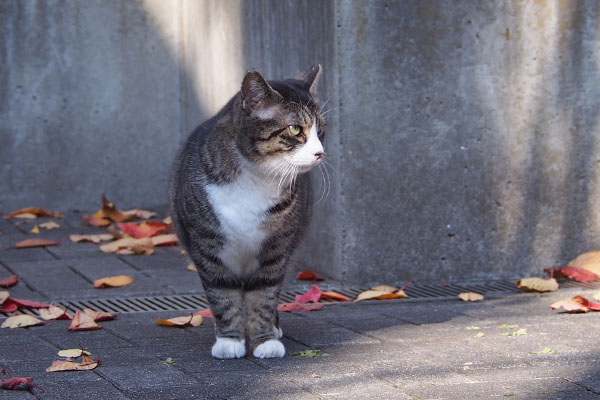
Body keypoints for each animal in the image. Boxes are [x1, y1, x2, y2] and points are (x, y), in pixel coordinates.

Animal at [169, 65, 326, 360]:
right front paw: (230, 341)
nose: (320, 152)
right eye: (295, 129)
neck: (256, 177)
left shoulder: (277, 249)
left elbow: (264, 295)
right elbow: (222, 295)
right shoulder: (207, 246)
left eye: (320, 130)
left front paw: (265, 341)